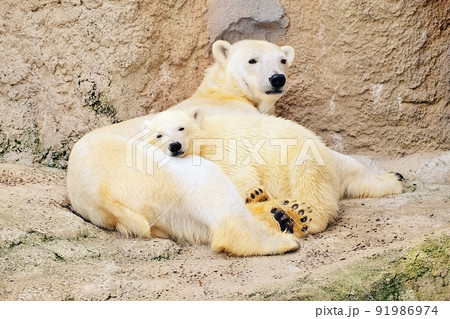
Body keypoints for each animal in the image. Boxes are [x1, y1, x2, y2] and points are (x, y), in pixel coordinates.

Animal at [67, 40, 404, 256]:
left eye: (282, 60)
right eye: (252, 60)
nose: (277, 78)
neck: (223, 92)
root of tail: (98, 193)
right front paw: (391, 178)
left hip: (159, 215)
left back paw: (280, 215)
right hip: (149, 170)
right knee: (213, 194)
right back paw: (281, 233)